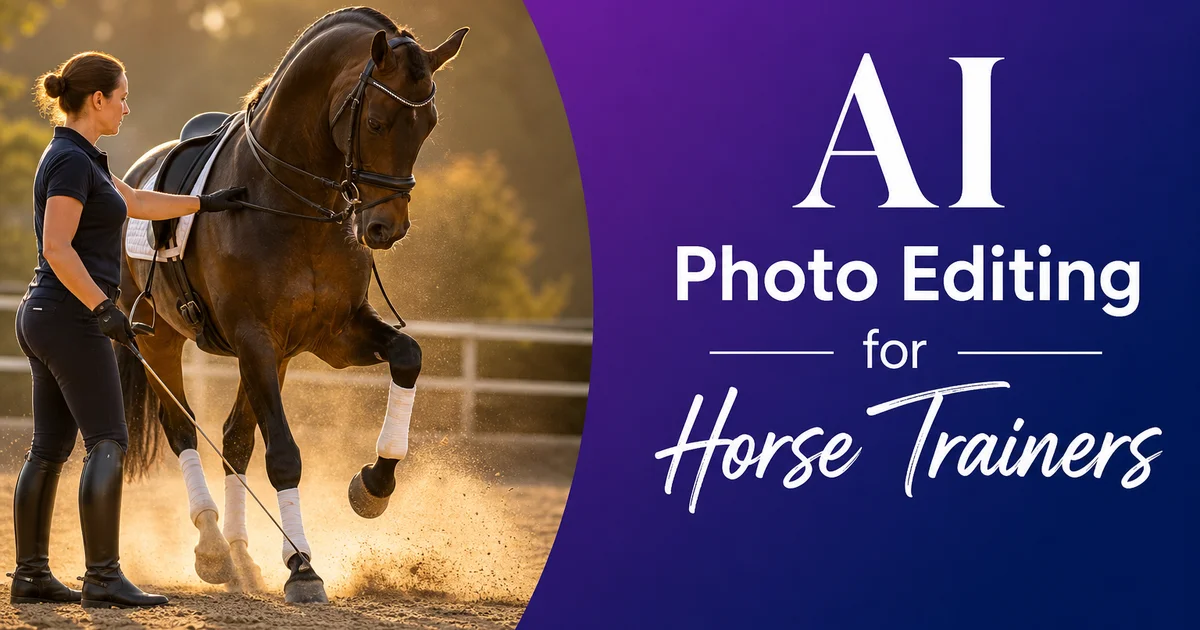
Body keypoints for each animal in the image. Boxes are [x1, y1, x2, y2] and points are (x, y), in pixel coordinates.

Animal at [116, 7, 467, 603]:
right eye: (376, 123)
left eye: (429, 125)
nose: (385, 228)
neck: (291, 199)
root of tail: (134, 174)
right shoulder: (253, 336)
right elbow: (283, 454)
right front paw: (303, 567)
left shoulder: (330, 336)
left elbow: (409, 355)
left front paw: (373, 486)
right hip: (159, 338)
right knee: (183, 427)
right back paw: (213, 549)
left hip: (271, 357)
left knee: (234, 439)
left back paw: (241, 557)